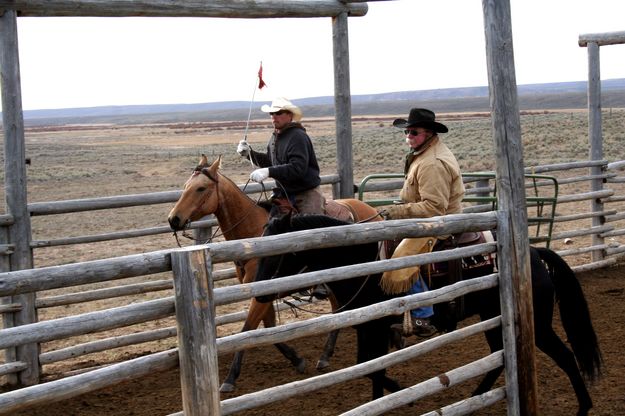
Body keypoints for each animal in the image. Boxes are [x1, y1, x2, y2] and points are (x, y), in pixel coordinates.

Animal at [166, 155, 380, 394]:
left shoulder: (261, 295)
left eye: (201, 188)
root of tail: (371, 211)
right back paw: (325, 356)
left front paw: (230, 378)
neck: (254, 236)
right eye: (186, 186)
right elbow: (268, 329)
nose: (173, 219)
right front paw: (297, 359)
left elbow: (247, 330)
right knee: (339, 310)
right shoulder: (262, 295)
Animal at [252, 213, 600, 414]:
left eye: (278, 252)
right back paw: (476, 395)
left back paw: (583, 407)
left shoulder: (377, 327)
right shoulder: (368, 327)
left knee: (564, 356)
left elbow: (373, 368)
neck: (361, 261)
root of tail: (535, 253)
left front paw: (399, 398)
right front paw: (392, 397)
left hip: (537, 323)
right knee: (499, 356)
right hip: (493, 318)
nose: (259, 293)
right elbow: (369, 366)